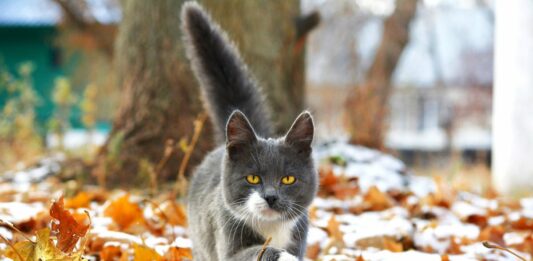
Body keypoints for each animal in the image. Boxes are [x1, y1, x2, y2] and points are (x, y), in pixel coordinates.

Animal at [181, 2, 318, 260]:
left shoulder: (299, 234)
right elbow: (254, 250)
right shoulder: (226, 233)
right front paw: (281, 254)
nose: (271, 196)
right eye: (253, 177)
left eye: (288, 179)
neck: (271, 229)